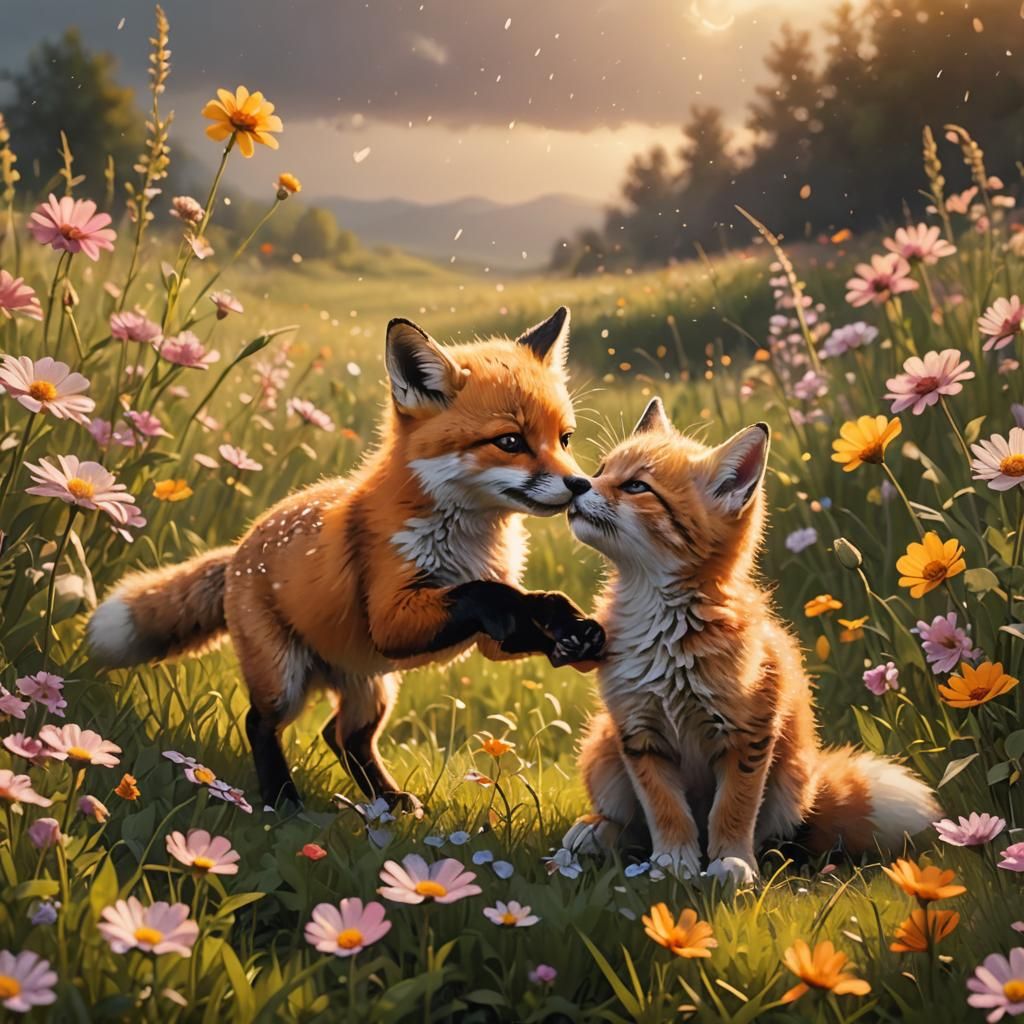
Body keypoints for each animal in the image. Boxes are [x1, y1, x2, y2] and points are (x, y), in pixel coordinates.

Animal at [87, 308, 605, 810]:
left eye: (564, 438)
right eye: (511, 442)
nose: (581, 485)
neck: (468, 546)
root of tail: (239, 548)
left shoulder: (485, 640)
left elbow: (535, 603)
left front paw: (573, 634)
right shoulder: (391, 619)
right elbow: (485, 593)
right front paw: (551, 627)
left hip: (371, 688)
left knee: (340, 736)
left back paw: (388, 800)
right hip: (284, 679)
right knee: (261, 722)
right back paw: (282, 800)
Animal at [559, 397, 938, 884]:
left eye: (637, 485)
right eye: (602, 469)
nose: (576, 484)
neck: (667, 636)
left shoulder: (748, 735)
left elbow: (732, 810)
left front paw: (728, 862)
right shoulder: (639, 733)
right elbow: (665, 811)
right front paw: (674, 863)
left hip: (790, 782)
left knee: (780, 837)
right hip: (603, 753)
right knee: (630, 829)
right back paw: (594, 834)